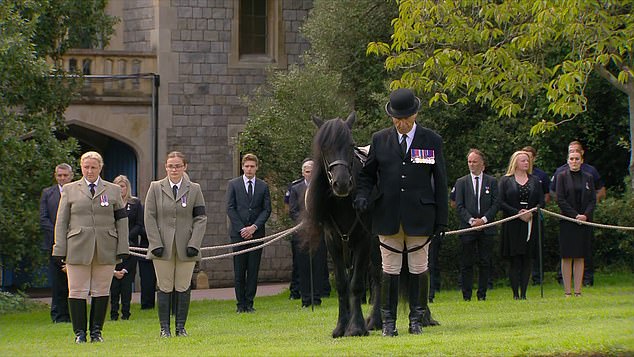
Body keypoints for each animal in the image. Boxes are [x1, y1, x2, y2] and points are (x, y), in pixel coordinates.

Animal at [302, 111, 380, 336]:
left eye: (350, 144)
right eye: (324, 147)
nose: (342, 183)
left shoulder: (364, 239)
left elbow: (356, 284)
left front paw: (356, 327)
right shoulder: (334, 242)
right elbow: (342, 283)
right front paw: (341, 326)